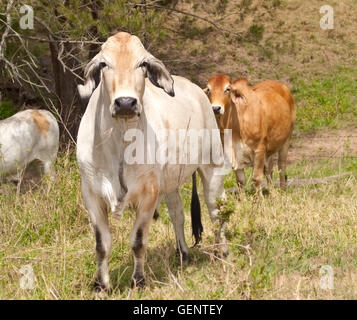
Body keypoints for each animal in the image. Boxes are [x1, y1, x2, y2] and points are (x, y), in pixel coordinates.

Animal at [77, 31, 227, 290]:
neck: (120, 143)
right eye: (104, 63)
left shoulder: (148, 194)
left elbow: (138, 241)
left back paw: (223, 250)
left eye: (143, 64)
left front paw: (138, 280)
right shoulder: (92, 195)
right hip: (170, 183)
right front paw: (101, 285)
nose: (125, 103)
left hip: (213, 167)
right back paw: (183, 253)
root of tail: (199, 91)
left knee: (217, 210)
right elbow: (102, 244)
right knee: (178, 214)